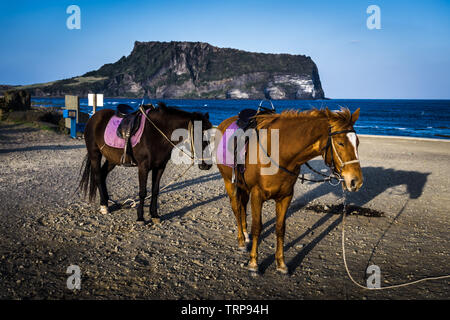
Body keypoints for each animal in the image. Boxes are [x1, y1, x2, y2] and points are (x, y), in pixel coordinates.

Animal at [79, 104, 213, 224]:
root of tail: (94, 117)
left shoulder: (159, 167)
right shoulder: (143, 167)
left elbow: (155, 191)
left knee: (102, 175)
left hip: (112, 159)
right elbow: (142, 192)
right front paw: (140, 218)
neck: (156, 134)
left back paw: (106, 201)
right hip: (95, 154)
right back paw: (104, 206)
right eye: (199, 134)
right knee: (97, 176)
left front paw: (154, 215)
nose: (207, 165)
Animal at [216, 109, 364, 274]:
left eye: (357, 143)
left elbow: (280, 228)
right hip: (229, 182)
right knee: (236, 209)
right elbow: (257, 227)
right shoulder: (257, 194)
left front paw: (281, 263)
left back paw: (245, 235)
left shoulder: (285, 196)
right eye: (340, 143)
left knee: (242, 207)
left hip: (243, 187)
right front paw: (254, 263)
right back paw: (242, 241)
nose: (356, 181)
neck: (279, 152)